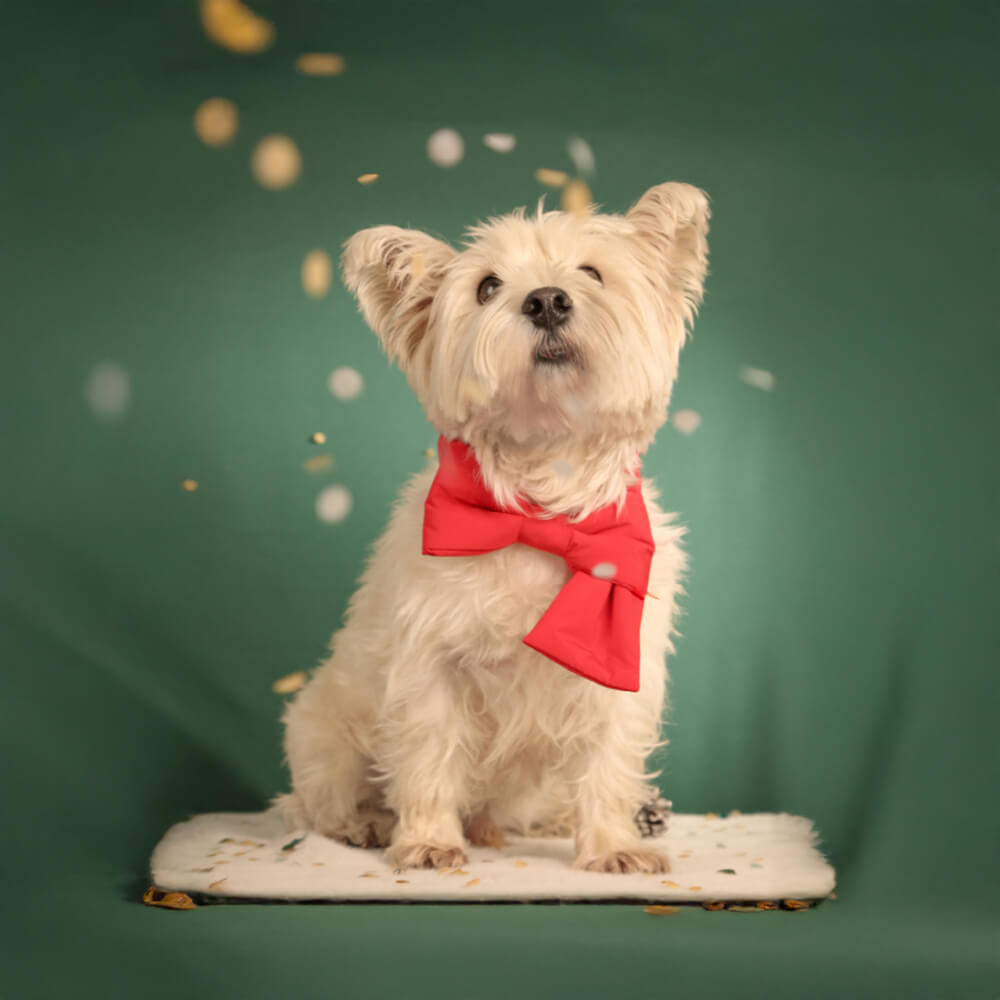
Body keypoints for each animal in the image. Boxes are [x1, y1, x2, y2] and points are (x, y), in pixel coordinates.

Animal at [278, 184, 708, 872]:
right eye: (486, 287)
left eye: (592, 274)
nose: (547, 300)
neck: (540, 507)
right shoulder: (429, 661)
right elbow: (428, 753)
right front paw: (428, 840)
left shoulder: (619, 668)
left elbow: (609, 762)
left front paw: (613, 845)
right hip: (322, 732)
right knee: (319, 801)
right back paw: (367, 824)